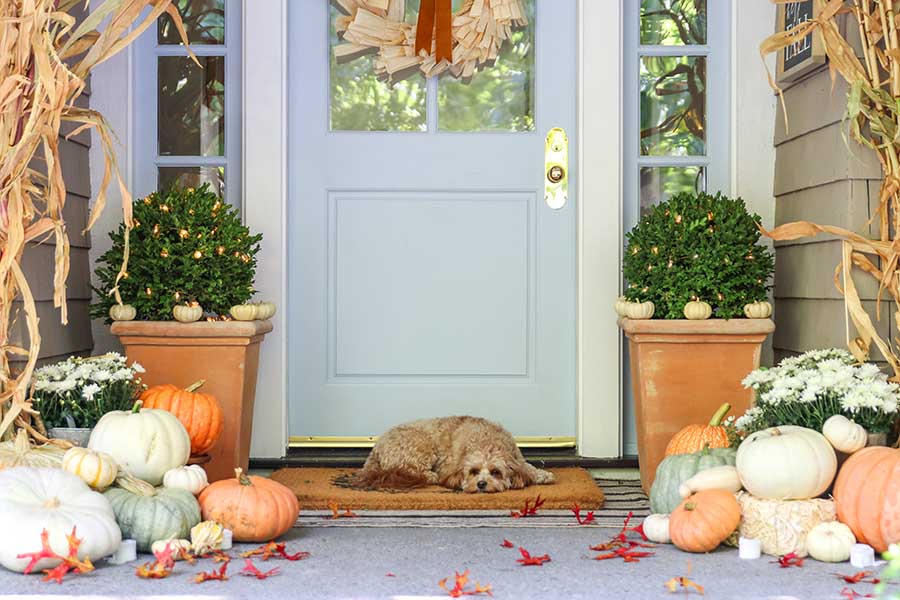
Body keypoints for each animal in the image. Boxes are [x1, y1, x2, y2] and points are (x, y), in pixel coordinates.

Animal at [352, 414, 556, 494]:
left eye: (496, 472)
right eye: (473, 472)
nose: (481, 484)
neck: (487, 441)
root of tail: (375, 448)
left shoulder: (517, 457)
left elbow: (527, 467)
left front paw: (542, 474)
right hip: (420, 446)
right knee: (414, 470)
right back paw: (431, 475)